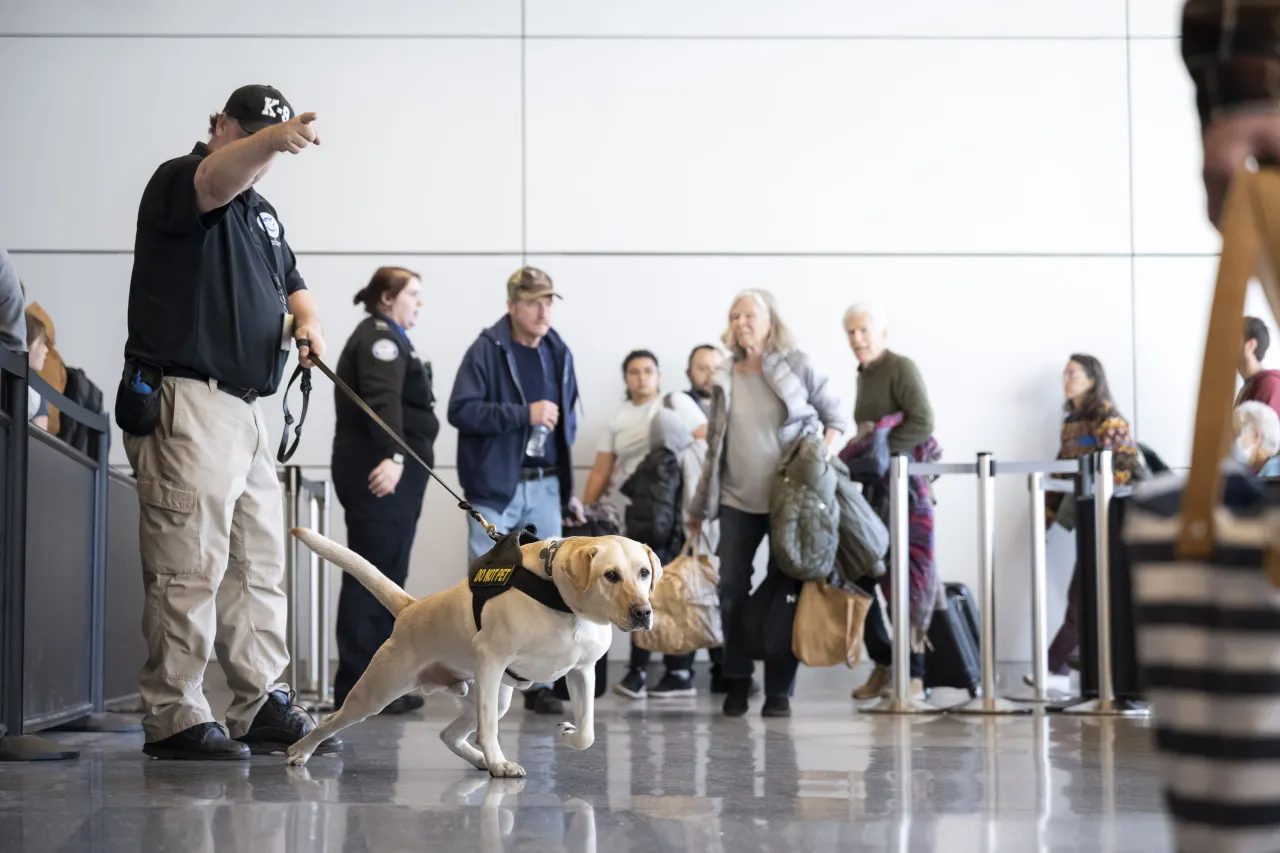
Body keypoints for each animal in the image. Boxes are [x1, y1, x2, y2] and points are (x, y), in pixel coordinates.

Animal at [281, 527, 660, 773]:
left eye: (644, 572)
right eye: (610, 575)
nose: (643, 613)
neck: (562, 602)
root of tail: (409, 608)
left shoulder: (582, 672)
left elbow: (587, 733)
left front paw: (567, 735)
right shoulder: (492, 659)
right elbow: (488, 728)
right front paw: (499, 763)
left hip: (488, 693)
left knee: (449, 733)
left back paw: (479, 760)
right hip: (377, 693)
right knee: (330, 721)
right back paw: (301, 750)